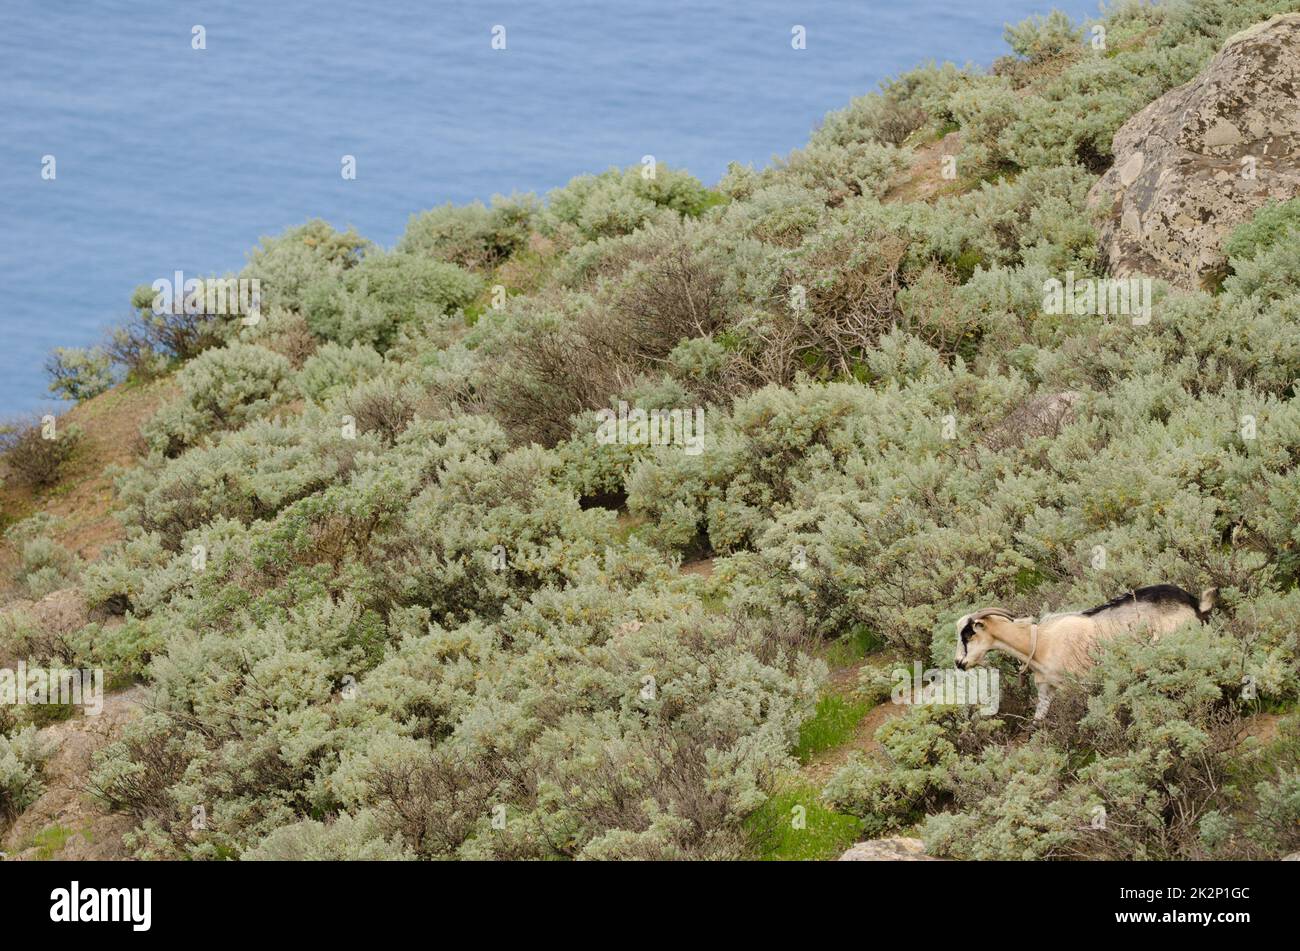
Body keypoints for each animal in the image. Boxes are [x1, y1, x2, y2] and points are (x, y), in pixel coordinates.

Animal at [956, 582, 1216, 717]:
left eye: (968, 634)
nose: (959, 663)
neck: (1040, 642)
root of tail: (1195, 603)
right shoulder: (1047, 689)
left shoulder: (1079, 685)